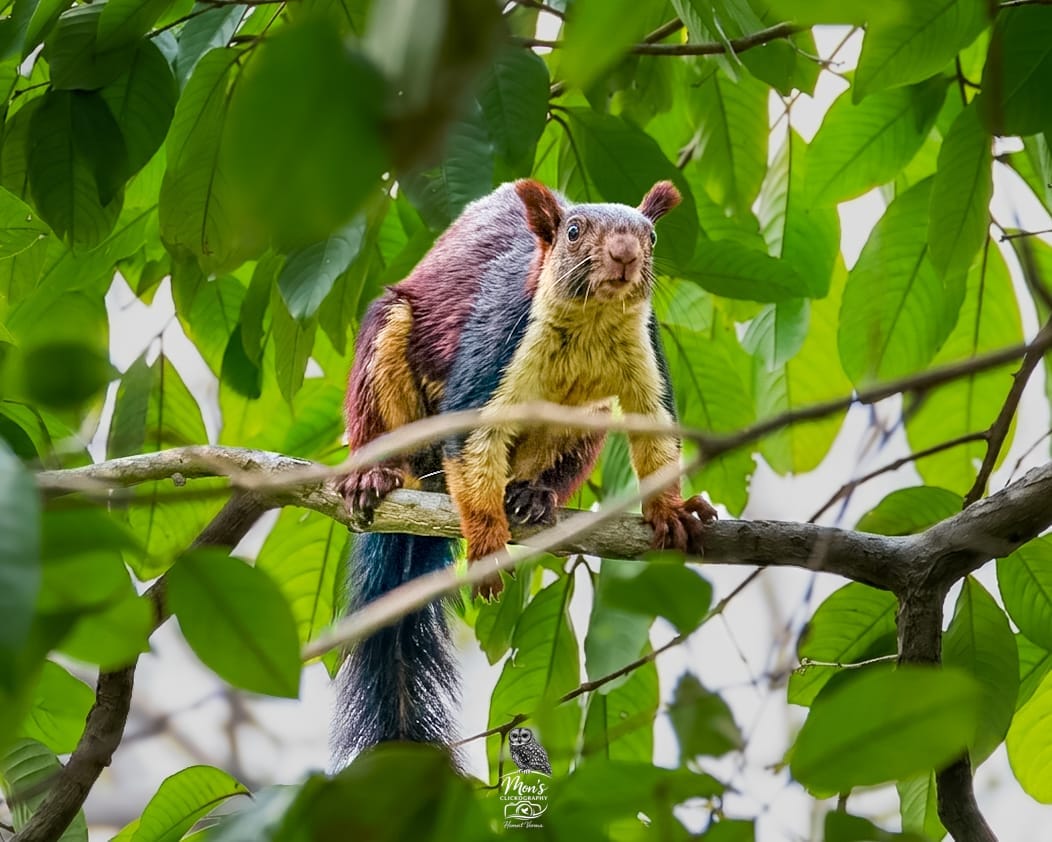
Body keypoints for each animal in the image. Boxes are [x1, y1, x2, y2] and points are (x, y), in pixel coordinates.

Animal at [330, 179, 717, 767]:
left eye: (650, 235)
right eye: (574, 230)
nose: (625, 255)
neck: (592, 323)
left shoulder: (646, 355)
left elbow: (656, 435)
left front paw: (670, 511)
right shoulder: (496, 341)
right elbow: (472, 442)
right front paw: (488, 543)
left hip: (586, 421)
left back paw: (534, 494)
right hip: (389, 345)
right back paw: (376, 474)